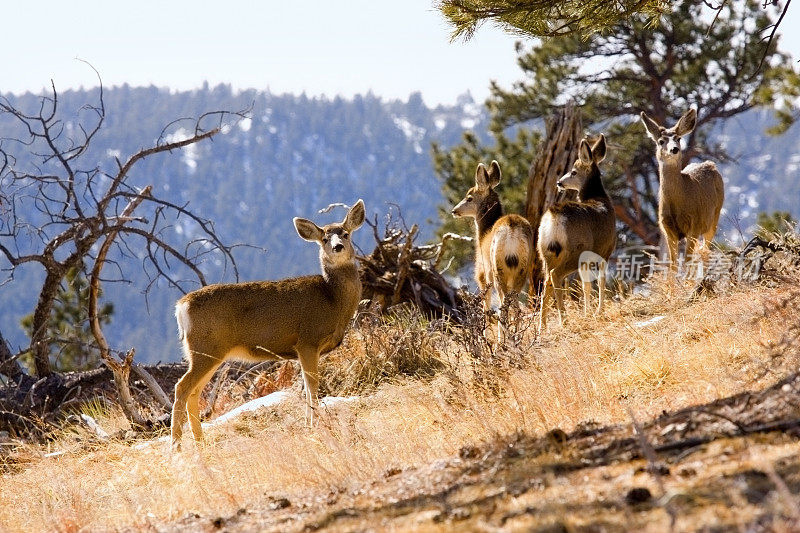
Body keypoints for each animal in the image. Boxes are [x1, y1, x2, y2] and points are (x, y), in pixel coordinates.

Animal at [173, 200, 368, 448]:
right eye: (324, 238)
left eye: (345, 233)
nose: (338, 247)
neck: (333, 300)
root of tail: (181, 306)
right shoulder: (307, 340)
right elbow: (313, 385)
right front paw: (315, 426)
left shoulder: (302, 349)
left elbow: (306, 388)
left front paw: (308, 425)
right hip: (205, 347)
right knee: (182, 387)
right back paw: (176, 446)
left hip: (209, 352)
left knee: (195, 392)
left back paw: (201, 444)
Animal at [454, 160, 536, 338]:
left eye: (469, 197)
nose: (454, 210)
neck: (484, 233)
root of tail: (512, 229)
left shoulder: (484, 273)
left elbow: (486, 304)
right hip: (523, 268)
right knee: (515, 306)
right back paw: (516, 338)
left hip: (497, 267)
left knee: (504, 306)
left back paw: (503, 341)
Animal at [536, 134, 620, 332]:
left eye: (573, 172)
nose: (559, 182)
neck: (600, 199)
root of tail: (553, 218)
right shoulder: (605, 251)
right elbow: (601, 281)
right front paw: (599, 312)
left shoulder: (588, 260)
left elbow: (585, 285)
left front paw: (587, 313)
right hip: (575, 251)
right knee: (555, 275)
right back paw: (564, 320)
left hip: (545, 252)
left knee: (546, 282)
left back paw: (542, 327)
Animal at [640, 107, 728, 270]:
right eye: (661, 141)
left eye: (678, 138)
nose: (674, 149)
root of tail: (711, 164)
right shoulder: (667, 229)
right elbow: (673, 265)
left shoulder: (694, 225)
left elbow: (687, 262)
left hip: (714, 217)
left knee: (706, 250)